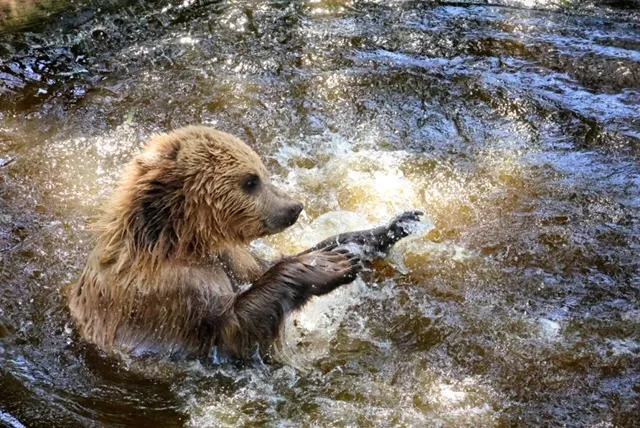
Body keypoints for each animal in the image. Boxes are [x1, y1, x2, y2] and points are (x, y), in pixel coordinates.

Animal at [67, 126, 421, 360]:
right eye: (250, 181)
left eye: (262, 171)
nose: (293, 207)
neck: (178, 242)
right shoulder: (167, 292)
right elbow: (233, 330)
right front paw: (327, 266)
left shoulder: (231, 256)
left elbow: (261, 270)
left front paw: (387, 229)